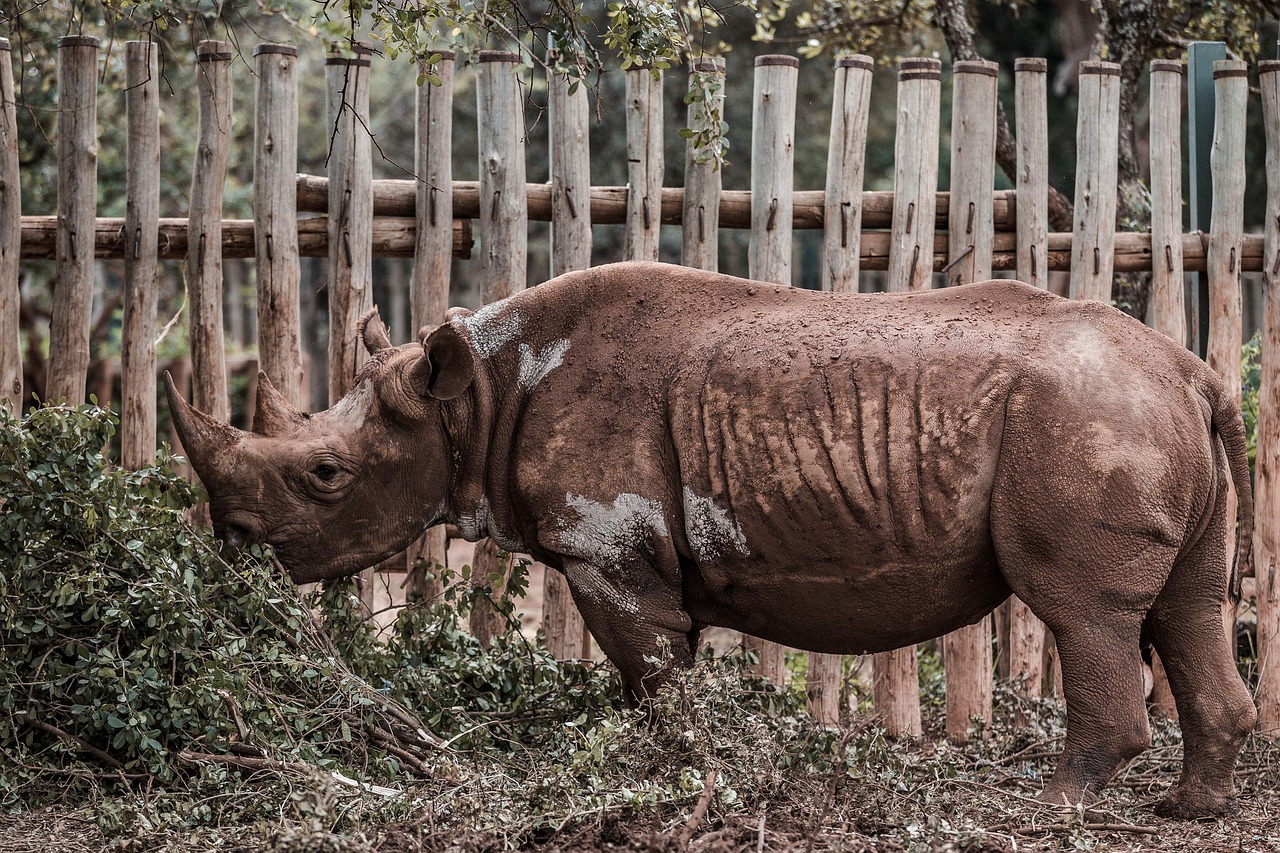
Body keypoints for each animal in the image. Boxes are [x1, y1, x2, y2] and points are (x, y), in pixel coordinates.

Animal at [167, 261, 1257, 818]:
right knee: (1188, 604)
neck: (472, 394)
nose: (231, 545)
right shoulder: (623, 554)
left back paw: (1053, 809)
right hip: (1135, 411)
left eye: (325, 475)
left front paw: (680, 782)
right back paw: (1189, 811)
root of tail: (1192, 373)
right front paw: (666, 777)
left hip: (1085, 416)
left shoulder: (605, 551)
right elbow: (656, 679)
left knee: (1081, 610)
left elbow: (655, 679)